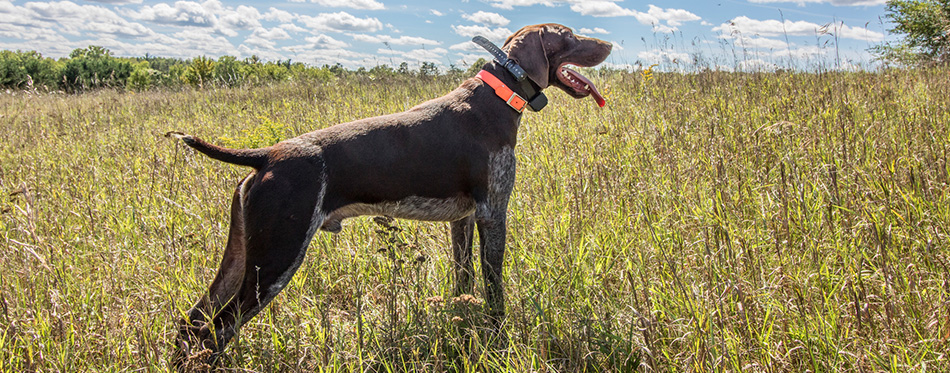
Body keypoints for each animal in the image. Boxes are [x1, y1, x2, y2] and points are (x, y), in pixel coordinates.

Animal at [170, 22, 612, 360]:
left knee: (192, 323)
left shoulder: (464, 220)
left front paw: (463, 326)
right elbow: (494, 290)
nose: (610, 44)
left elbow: (464, 281)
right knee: (217, 330)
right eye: (568, 35)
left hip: (242, 256)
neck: (499, 96)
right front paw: (499, 339)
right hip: (277, 258)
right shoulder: (492, 215)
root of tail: (266, 157)